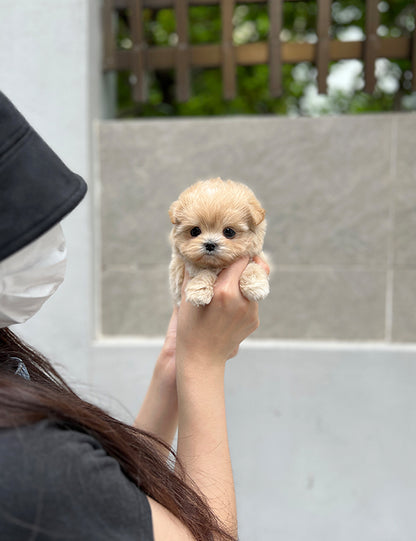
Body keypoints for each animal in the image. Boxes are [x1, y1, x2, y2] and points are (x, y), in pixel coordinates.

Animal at [169, 176, 270, 306]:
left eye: (229, 231)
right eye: (195, 231)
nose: (210, 245)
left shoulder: (255, 256)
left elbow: (253, 265)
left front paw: (255, 285)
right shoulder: (183, 268)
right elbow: (204, 272)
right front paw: (199, 292)